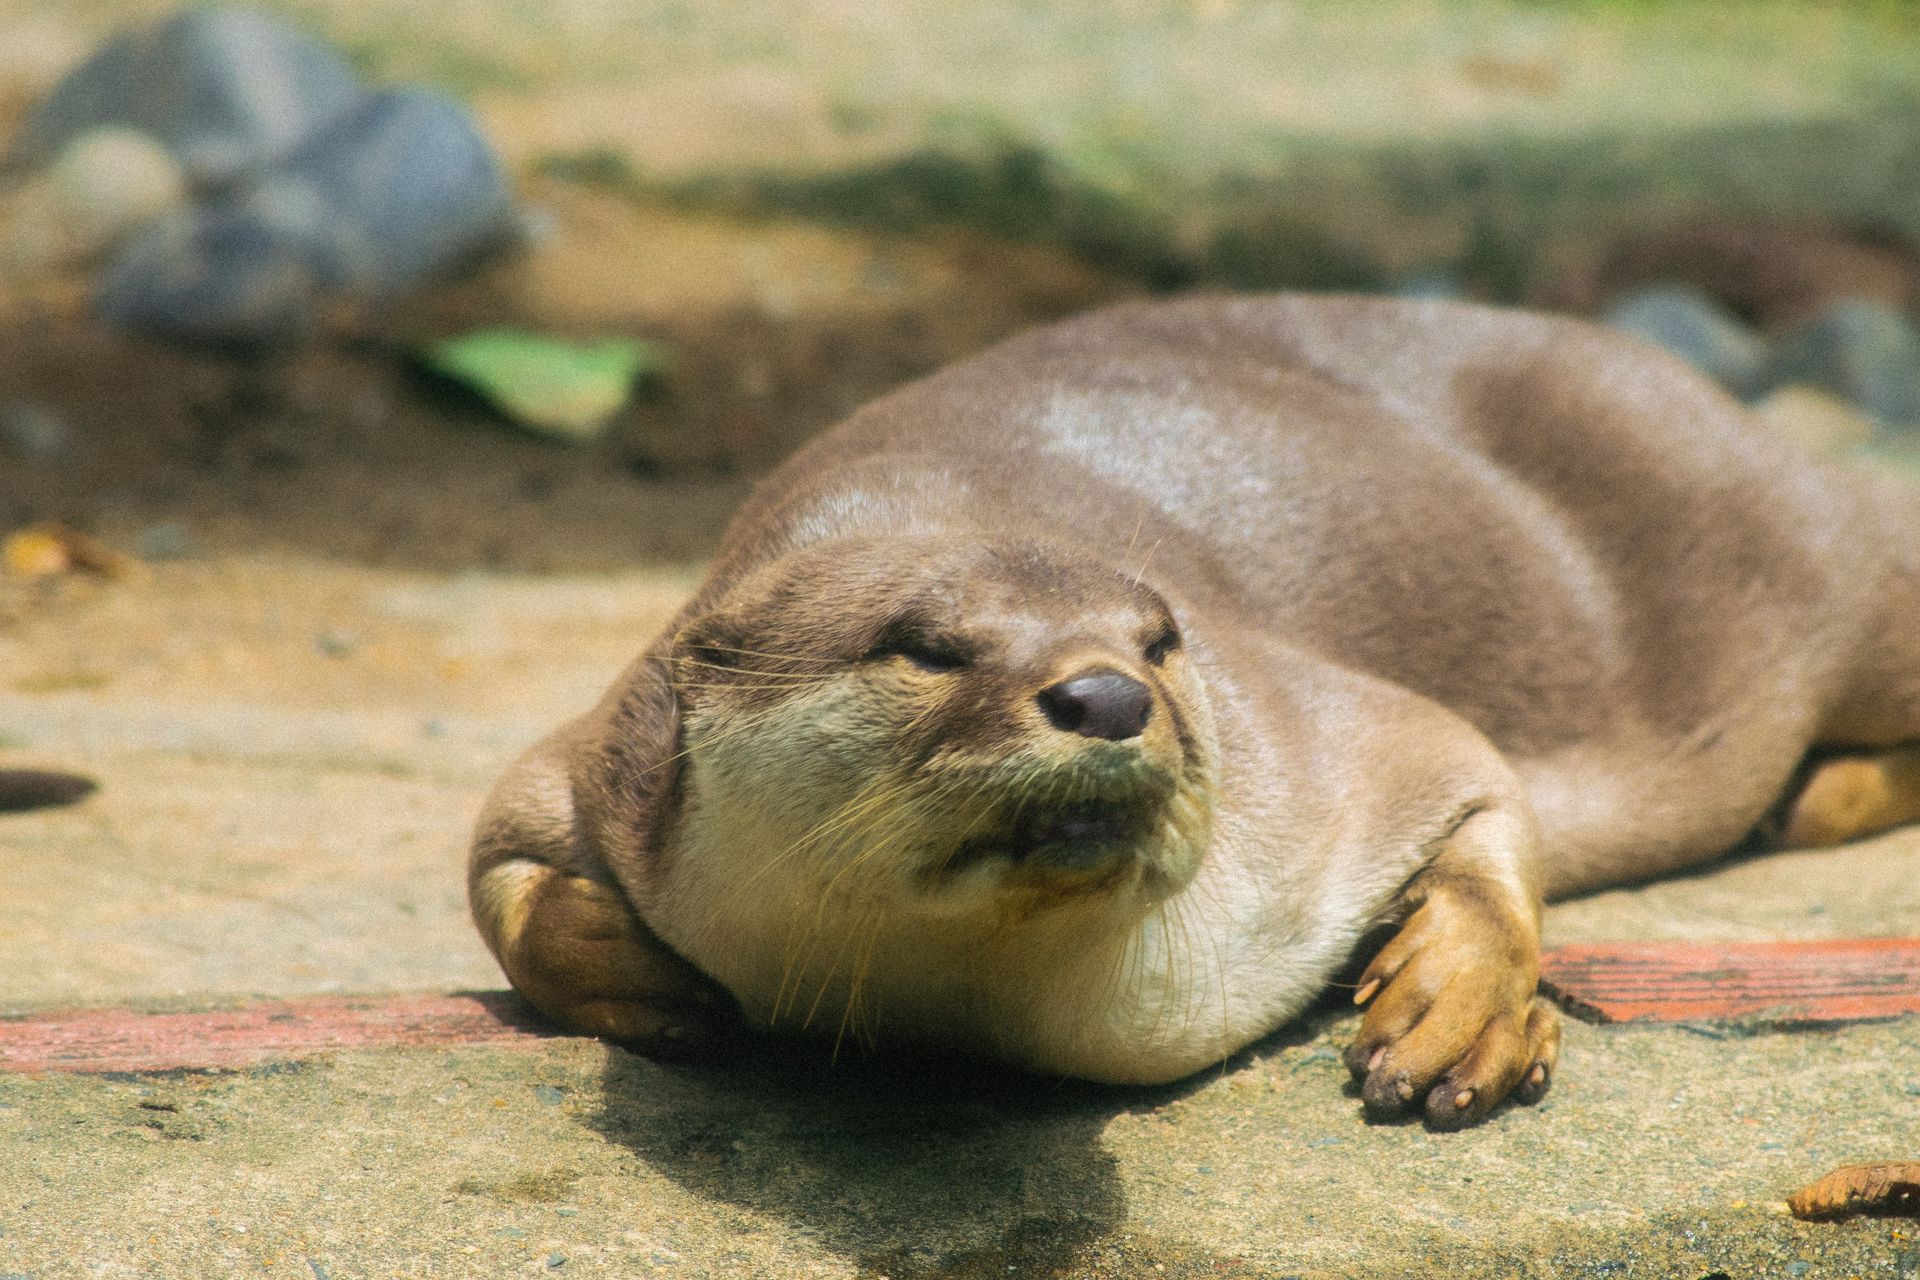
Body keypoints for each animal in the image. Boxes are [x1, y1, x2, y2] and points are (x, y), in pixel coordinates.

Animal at [469, 295, 1920, 1128]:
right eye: (925, 646)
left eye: (1161, 643)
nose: (1107, 695)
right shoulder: (600, 752)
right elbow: (500, 872)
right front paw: (643, 974)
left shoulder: (1335, 738)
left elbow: (1479, 784)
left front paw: (1458, 1005)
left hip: (1819, 556)